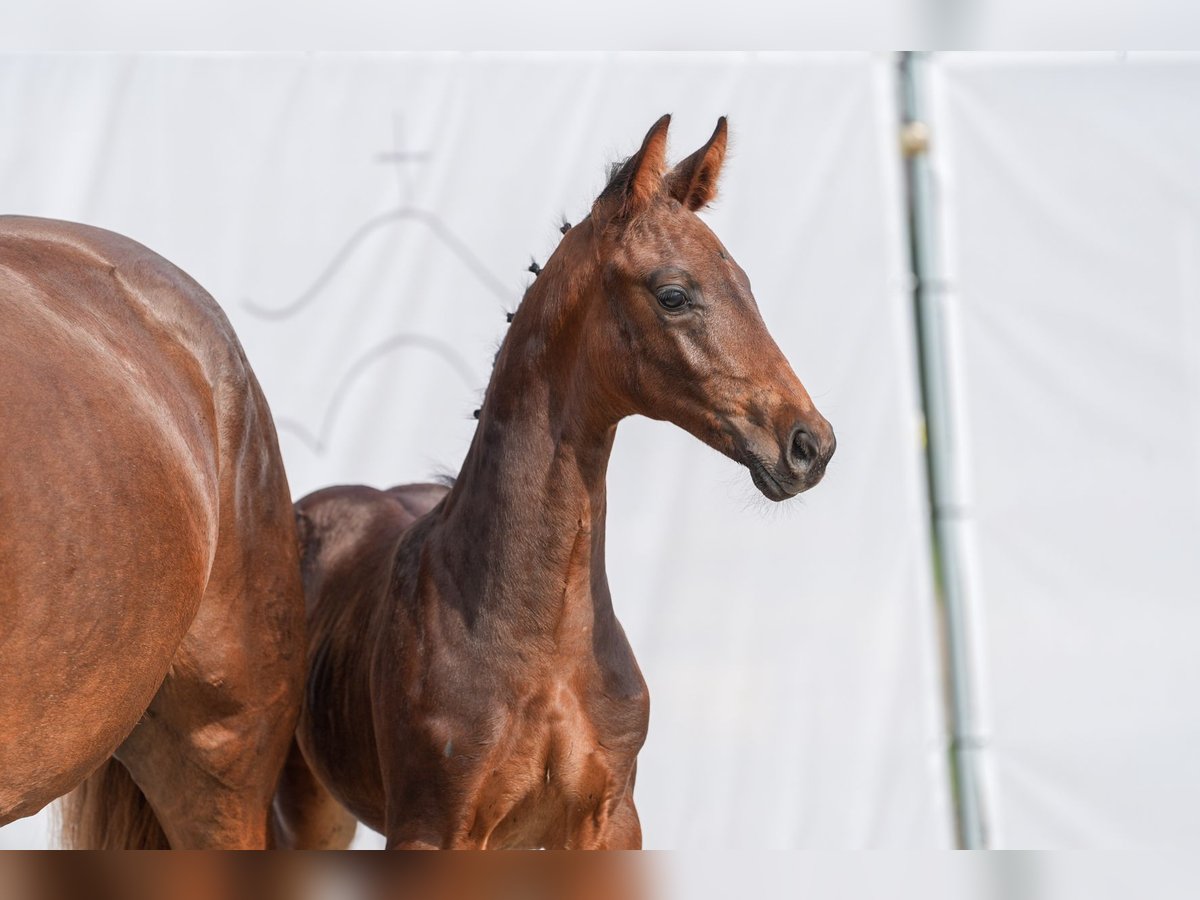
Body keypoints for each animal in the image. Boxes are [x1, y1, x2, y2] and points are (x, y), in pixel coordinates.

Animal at [272, 116, 835, 849]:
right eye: (673, 294)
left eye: (745, 282)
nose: (810, 444)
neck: (543, 642)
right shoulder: (434, 827)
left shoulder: (608, 822)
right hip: (299, 806)